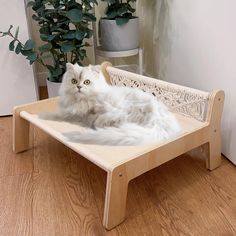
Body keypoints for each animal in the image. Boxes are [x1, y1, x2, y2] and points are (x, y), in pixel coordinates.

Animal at [39, 61, 182, 145]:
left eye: (87, 82)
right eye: (74, 81)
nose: (79, 87)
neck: (83, 101)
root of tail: (162, 126)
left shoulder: (112, 110)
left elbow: (99, 118)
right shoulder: (72, 113)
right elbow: (59, 115)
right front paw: (43, 116)